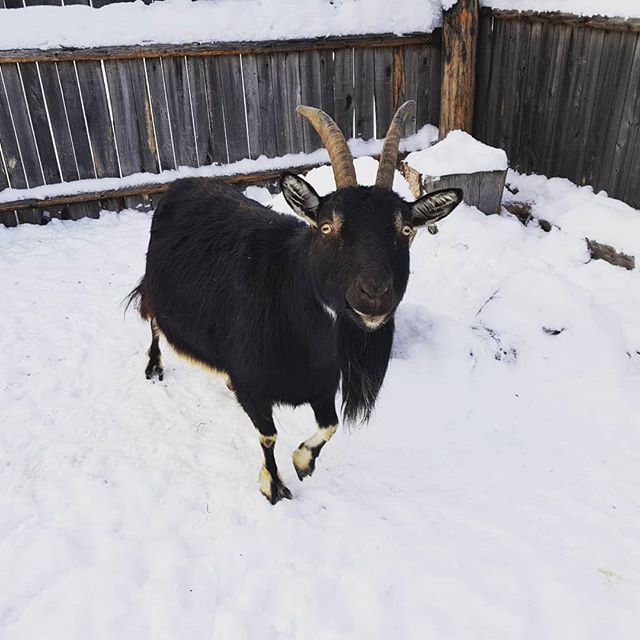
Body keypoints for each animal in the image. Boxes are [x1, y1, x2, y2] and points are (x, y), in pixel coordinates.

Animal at [127, 101, 462, 503]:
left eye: (406, 230)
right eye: (326, 227)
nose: (375, 294)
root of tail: (181, 183)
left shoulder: (322, 383)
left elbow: (330, 425)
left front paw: (303, 463)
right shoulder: (254, 383)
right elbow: (268, 435)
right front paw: (273, 486)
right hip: (156, 285)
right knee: (153, 319)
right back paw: (154, 367)